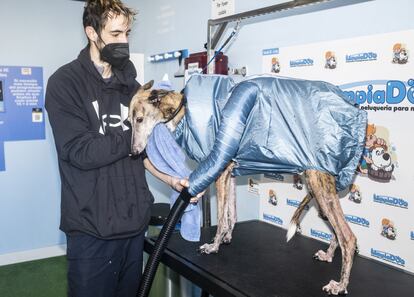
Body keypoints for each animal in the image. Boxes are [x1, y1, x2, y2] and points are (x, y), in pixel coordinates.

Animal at [130, 79, 360, 294]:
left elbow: (222, 217)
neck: (183, 109)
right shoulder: (230, 173)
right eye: (128, 121)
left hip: (318, 184)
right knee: (338, 232)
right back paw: (328, 255)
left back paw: (340, 285)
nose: (133, 153)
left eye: (139, 119)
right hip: (321, 192)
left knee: (348, 237)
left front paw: (213, 245)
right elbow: (231, 213)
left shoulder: (220, 171)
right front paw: (227, 237)